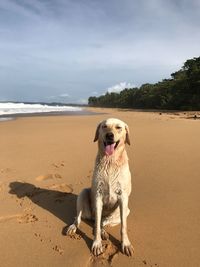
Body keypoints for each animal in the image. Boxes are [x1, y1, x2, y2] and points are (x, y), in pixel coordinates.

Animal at [66, 118, 134, 256]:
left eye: (118, 127)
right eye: (104, 126)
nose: (109, 135)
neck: (110, 161)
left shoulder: (123, 196)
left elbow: (123, 227)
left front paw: (125, 244)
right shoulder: (98, 194)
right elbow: (95, 226)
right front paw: (97, 244)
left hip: (124, 211)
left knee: (103, 222)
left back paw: (104, 232)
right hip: (83, 194)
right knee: (81, 219)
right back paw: (73, 227)